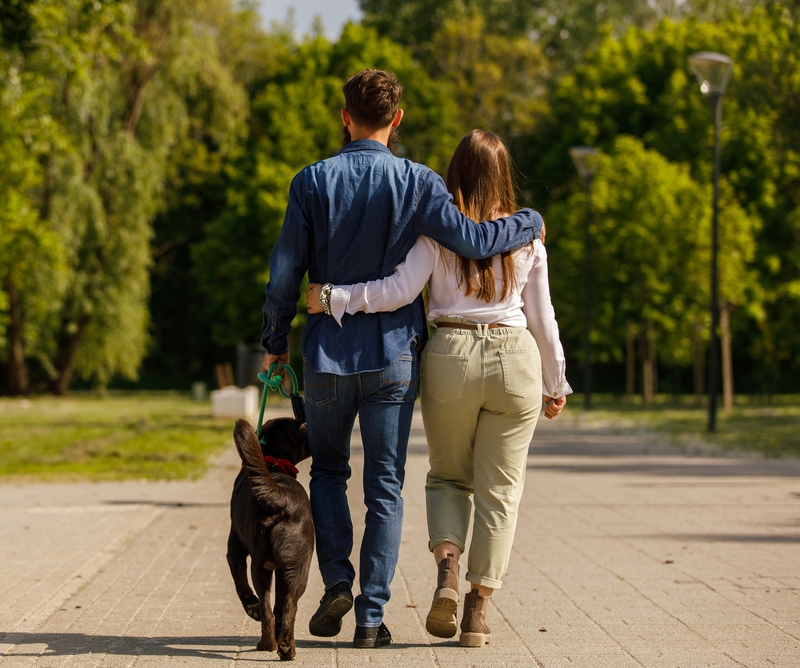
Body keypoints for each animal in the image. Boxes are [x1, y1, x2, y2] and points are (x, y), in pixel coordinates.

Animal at [228, 420, 316, 660]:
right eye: (301, 426)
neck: (272, 460)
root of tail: (283, 498)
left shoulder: (235, 549)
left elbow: (241, 584)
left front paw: (251, 606)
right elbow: (279, 606)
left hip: (262, 565)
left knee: (268, 609)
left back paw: (267, 644)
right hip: (297, 568)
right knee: (287, 606)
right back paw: (285, 647)